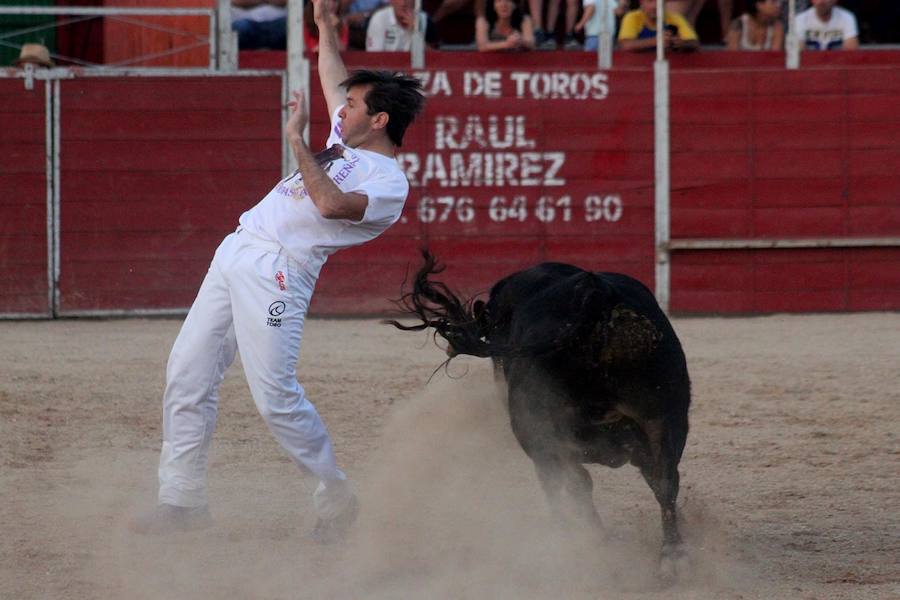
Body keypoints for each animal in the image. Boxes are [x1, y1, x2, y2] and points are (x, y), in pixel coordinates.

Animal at [384, 252, 688, 576]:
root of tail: (594, 294)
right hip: (663, 417)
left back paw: (596, 541)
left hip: (539, 428)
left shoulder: (542, 438)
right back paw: (672, 555)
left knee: (575, 483)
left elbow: (564, 485)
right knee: (665, 480)